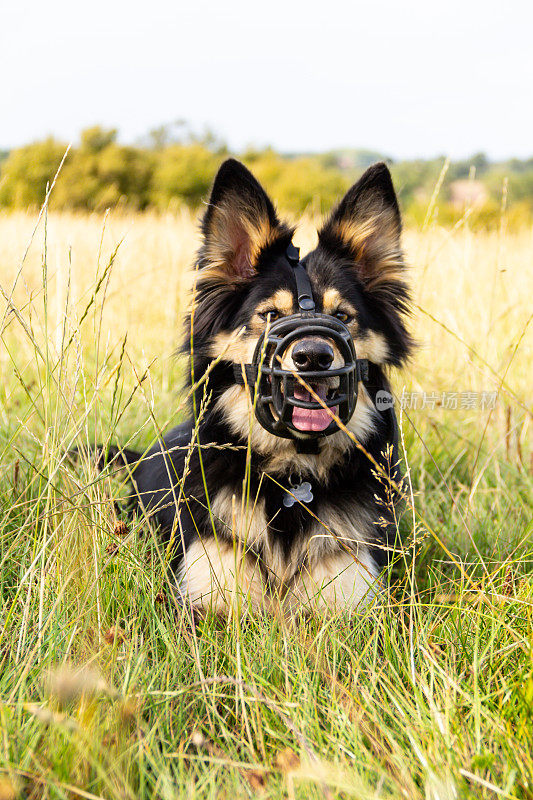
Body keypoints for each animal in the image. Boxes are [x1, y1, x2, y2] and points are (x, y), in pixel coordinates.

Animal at [104, 159, 412, 616]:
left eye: (342, 316)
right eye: (269, 315)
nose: (314, 357)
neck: (292, 477)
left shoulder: (352, 603)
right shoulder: (204, 600)